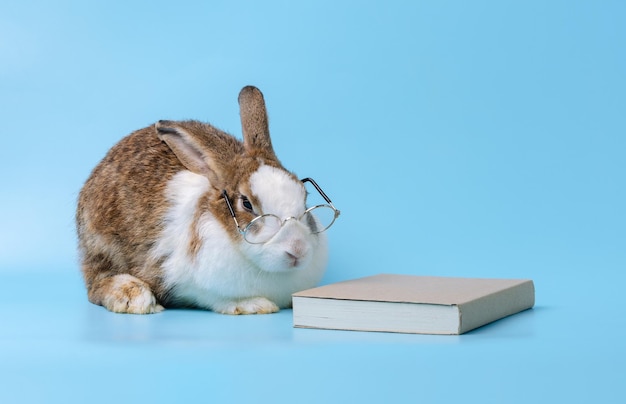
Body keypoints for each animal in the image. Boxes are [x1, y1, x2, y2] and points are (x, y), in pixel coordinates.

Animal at [75, 86, 332, 316]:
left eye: (304, 196)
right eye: (247, 203)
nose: (297, 250)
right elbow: (213, 297)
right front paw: (253, 305)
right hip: (102, 246)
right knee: (96, 285)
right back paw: (134, 297)